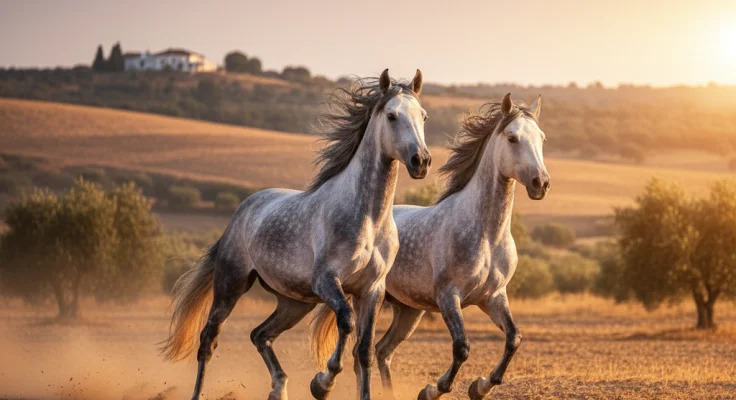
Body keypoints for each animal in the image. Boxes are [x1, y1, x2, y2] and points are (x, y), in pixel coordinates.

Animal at [160, 69, 431, 400]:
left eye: (423, 116)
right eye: (392, 116)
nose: (421, 161)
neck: (368, 219)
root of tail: (241, 211)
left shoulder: (372, 289)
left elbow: (364, 352)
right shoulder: (327, 281)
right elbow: (346, 322)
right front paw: (321, 384)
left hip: (294, 303)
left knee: (260, 335)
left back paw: (279, 389)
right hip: (231, 284)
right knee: (208, 341)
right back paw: (200, 392)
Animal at [311, 93, 549, 400]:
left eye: (541, 138)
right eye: (512, 138)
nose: (541, 183)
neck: (487, 235)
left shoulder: (493, 296)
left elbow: (514, 338)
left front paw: (480, 387)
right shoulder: (449, 296)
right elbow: (462, 347)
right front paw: (432, 390)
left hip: (408, 311)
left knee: (381, 351)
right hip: (366, 295)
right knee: (360, 349)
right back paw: (324, 384)